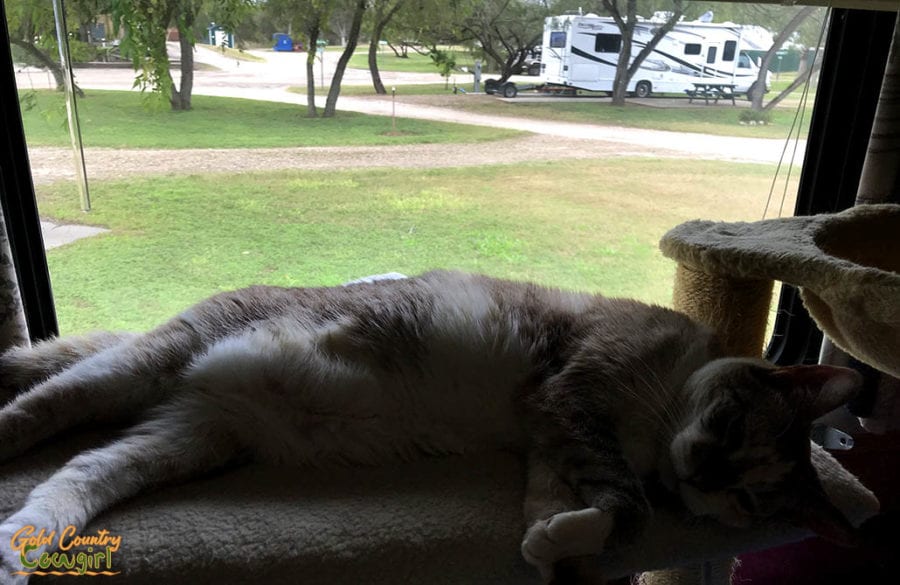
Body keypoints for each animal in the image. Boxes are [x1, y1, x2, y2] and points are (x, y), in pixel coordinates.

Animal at [0, 270, 860, 580]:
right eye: (734, 424)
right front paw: (593, 525)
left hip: (186, 439)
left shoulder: (550, 438)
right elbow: (631, 505)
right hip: (141, 368)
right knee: (36, 407)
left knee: (75, 475)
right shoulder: (573, 396)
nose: (705, 473)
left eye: (748, 500)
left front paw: (548, 543)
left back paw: (22, 543)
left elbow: (558, 502)